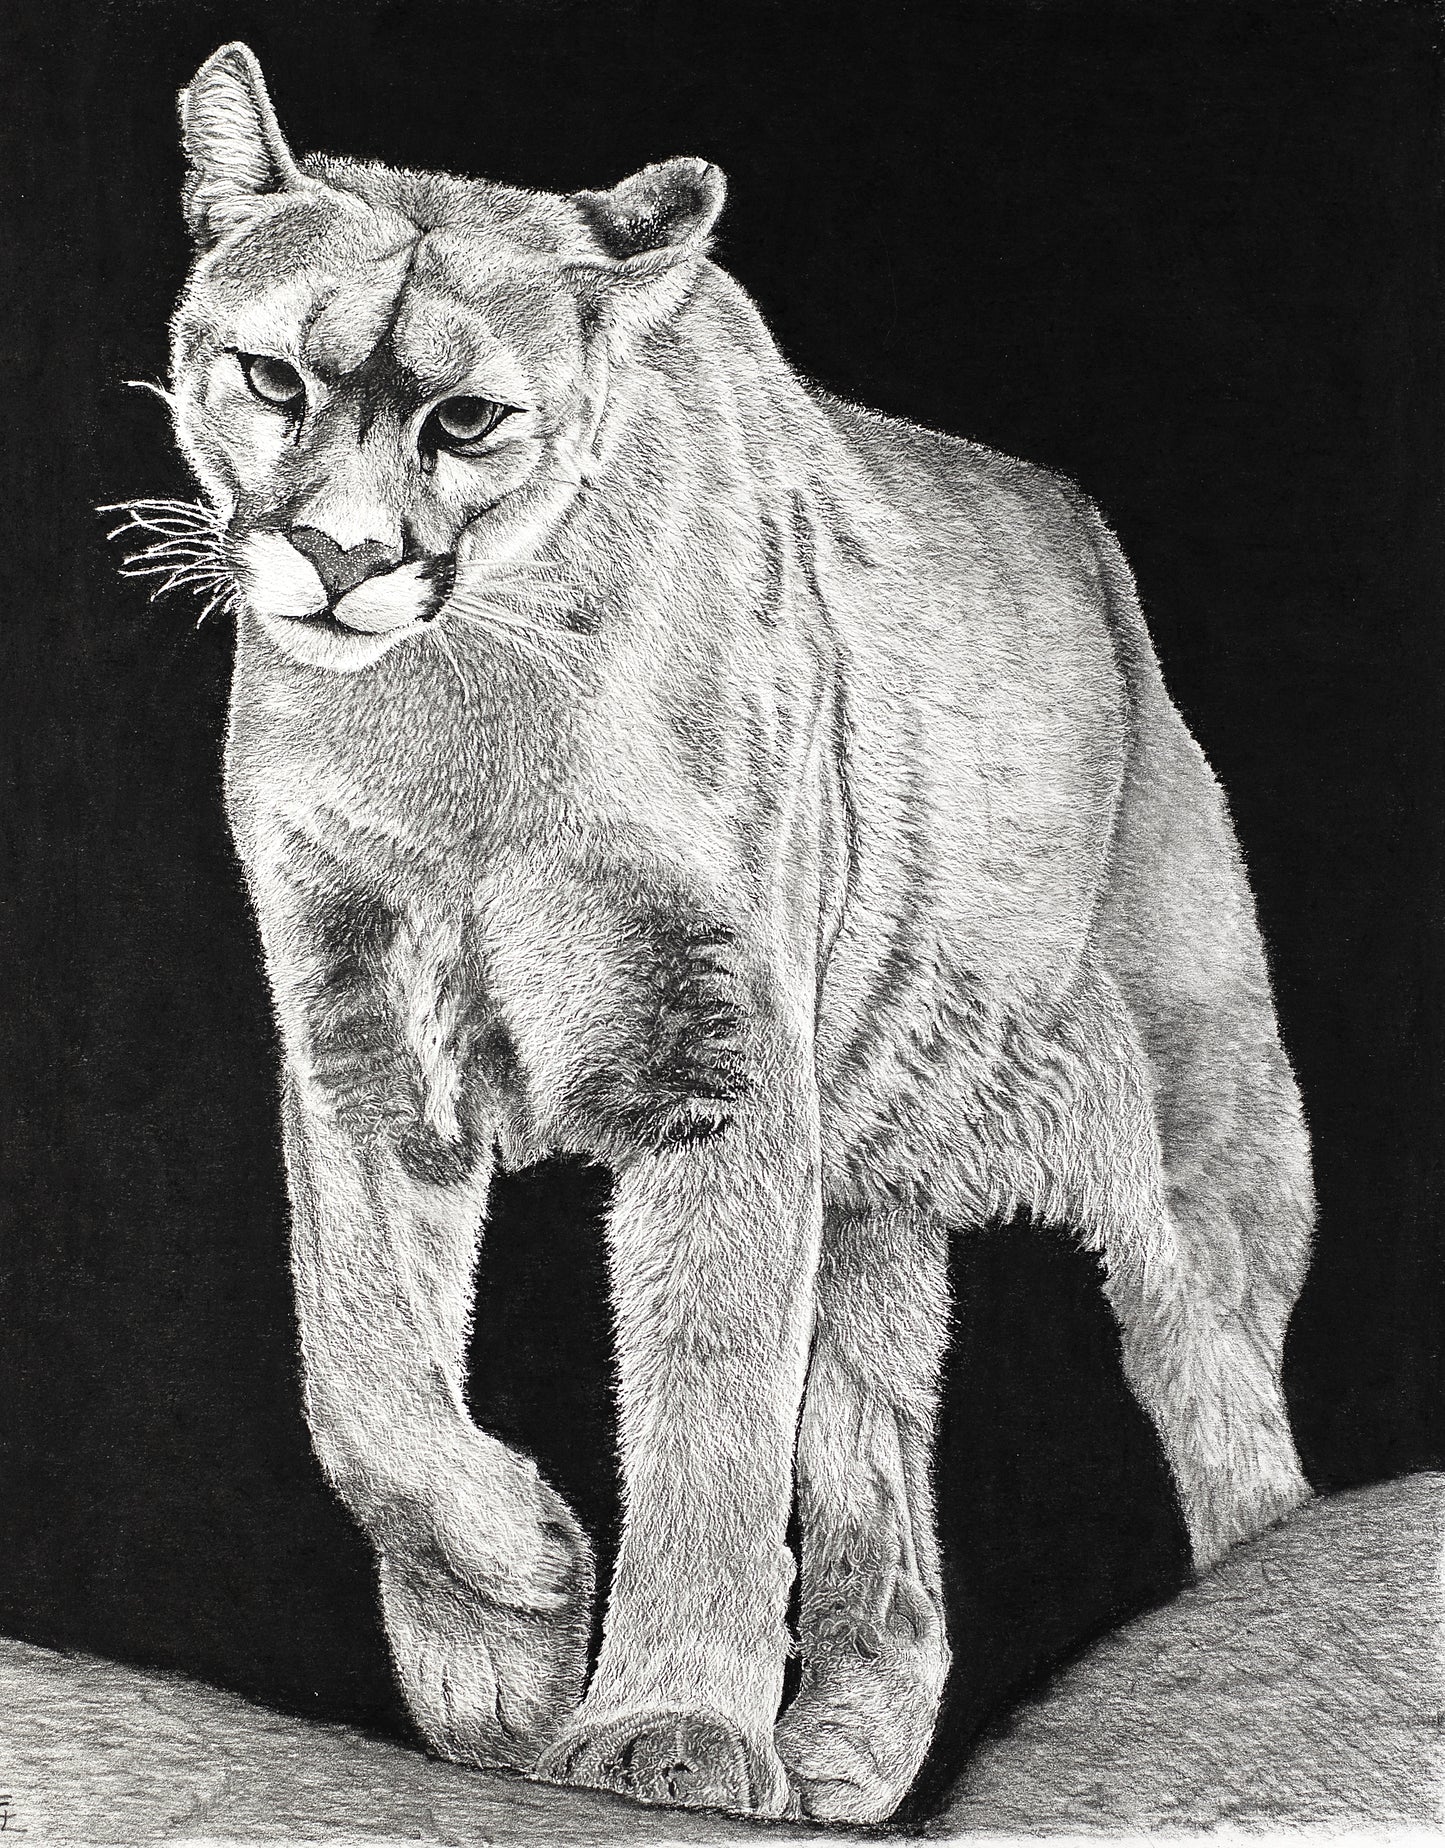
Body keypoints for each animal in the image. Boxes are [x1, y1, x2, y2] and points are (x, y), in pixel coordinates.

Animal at [119, 40, 1316, 1825]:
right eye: (271, 379)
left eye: (466, 419)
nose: (338, 558)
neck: (459, 718)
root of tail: (1097, 562)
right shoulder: (355, 1040)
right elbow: (359, 1364)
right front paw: (509, 1623)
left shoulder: (721, 1061)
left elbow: (705, 1394)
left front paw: (664, 1729)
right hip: (874, 1179)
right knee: (882, 1487)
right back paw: (841, 1751)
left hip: (1197, 1166)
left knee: (1231, 1417)